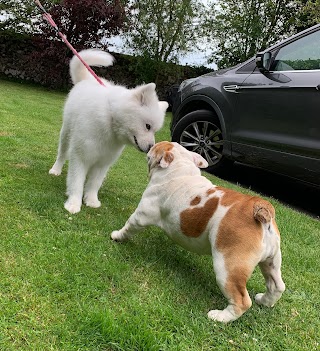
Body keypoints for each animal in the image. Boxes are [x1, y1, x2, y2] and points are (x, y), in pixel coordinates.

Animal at [49, 49, 168, 214]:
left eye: (154, 130)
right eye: (148, 126)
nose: (151, 147)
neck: (111, 120)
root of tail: (86, 81)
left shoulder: (104, 162)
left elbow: (94, 183)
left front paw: (91, 200)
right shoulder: (80, 156)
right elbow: (76, 181)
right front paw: (73, 203)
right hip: (66, 135)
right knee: (62, 154)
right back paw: (56, 169)